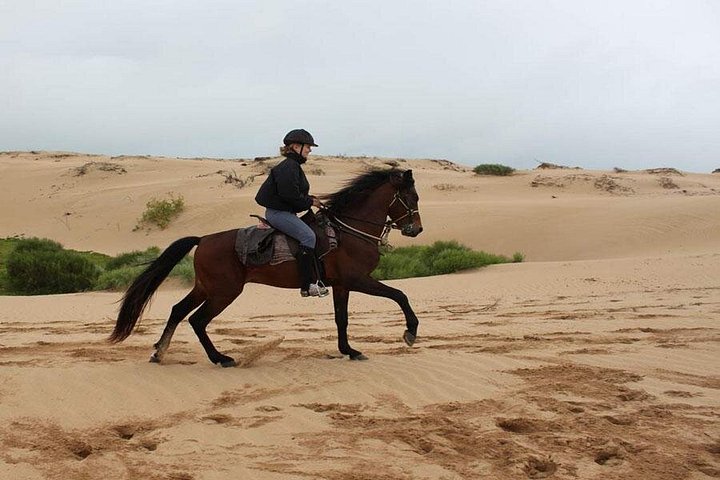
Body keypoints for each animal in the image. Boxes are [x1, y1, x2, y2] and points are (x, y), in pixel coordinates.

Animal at [109, 168, 423, 366]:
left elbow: (341, 319)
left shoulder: (342, 285)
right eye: (411, 198)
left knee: (178, 311)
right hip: (224, 292)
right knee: (197, 320)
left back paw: (160, 353)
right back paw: (220, 358)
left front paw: (348, 350)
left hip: (205, 288)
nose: (416, 230)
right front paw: (410, 332)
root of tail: (203, 239)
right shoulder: (358, 279)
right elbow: (400, 295)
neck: (348, 230)